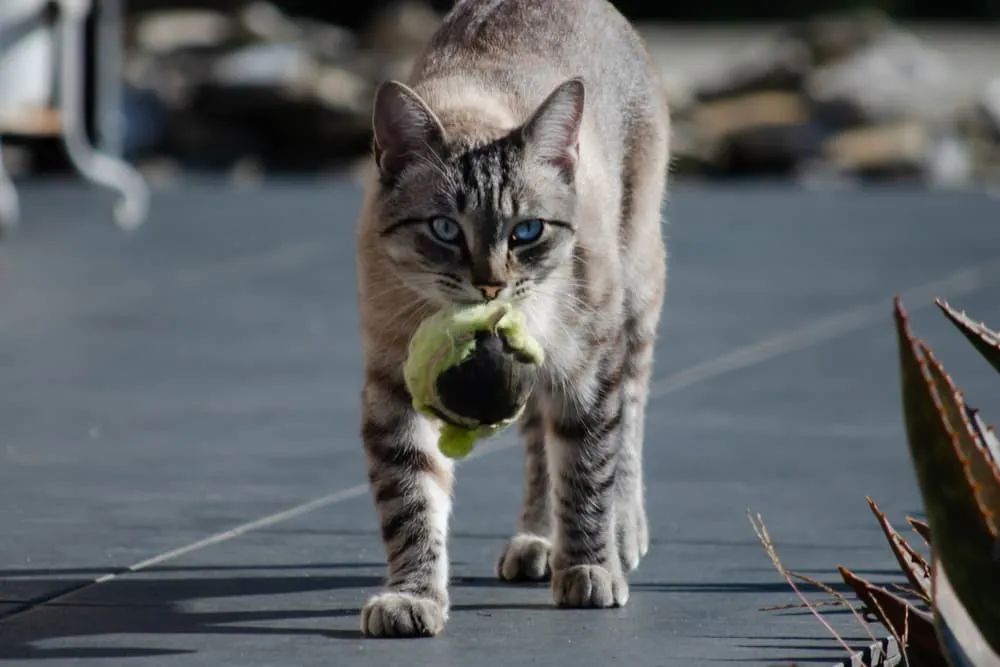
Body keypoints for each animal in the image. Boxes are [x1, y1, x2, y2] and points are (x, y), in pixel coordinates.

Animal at [356, 0, 668, 636]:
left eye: (526, 232)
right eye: (444, 230)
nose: (491, 285)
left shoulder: (589, 367)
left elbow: (587, 467)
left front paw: (589, 568)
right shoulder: (392, 382)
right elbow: (410, 499)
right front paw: (412, 598)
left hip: (635, 298)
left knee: (628, 423)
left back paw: (620, 537)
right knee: (538, 446)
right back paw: (536, 541)